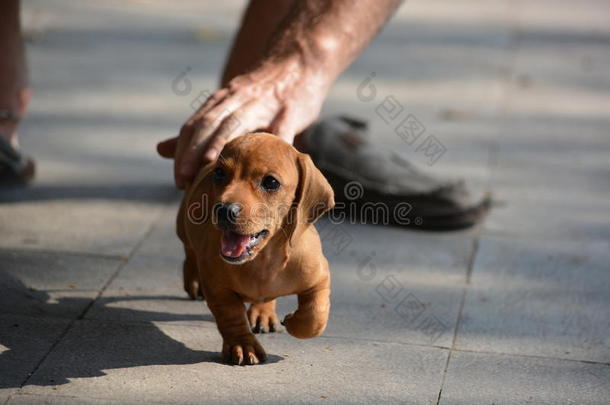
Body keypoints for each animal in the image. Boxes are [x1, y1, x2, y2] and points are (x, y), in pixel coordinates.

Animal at [177, 133, 332, 366]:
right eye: (220, 173)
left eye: (271, 182)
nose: (223, 210)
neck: (263, 260)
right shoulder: (218, 289)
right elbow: (231, 317)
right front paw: (243, 344)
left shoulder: (319, 277)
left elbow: (315, 316)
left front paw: (293, 321)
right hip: (183, 227)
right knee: (189, 251)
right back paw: (193, 279)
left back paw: (263, 313)